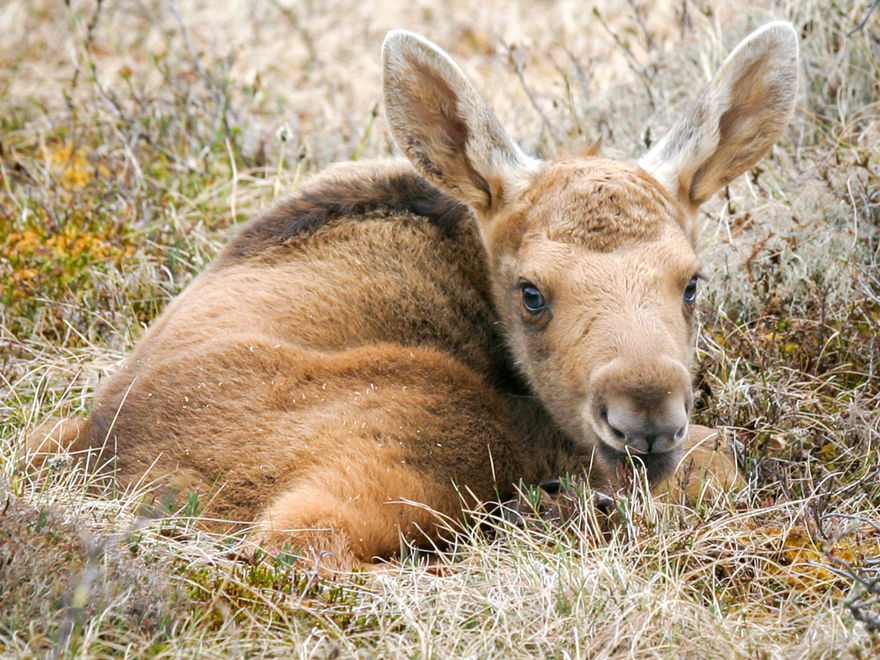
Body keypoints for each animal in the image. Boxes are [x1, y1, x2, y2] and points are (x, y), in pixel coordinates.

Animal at [28, 22, 798, 571]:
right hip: (429, 427)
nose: (645, 419)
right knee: (294, 547)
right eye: (531, 293)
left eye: (692, 282)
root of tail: (102, 453)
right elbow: (719, 457)